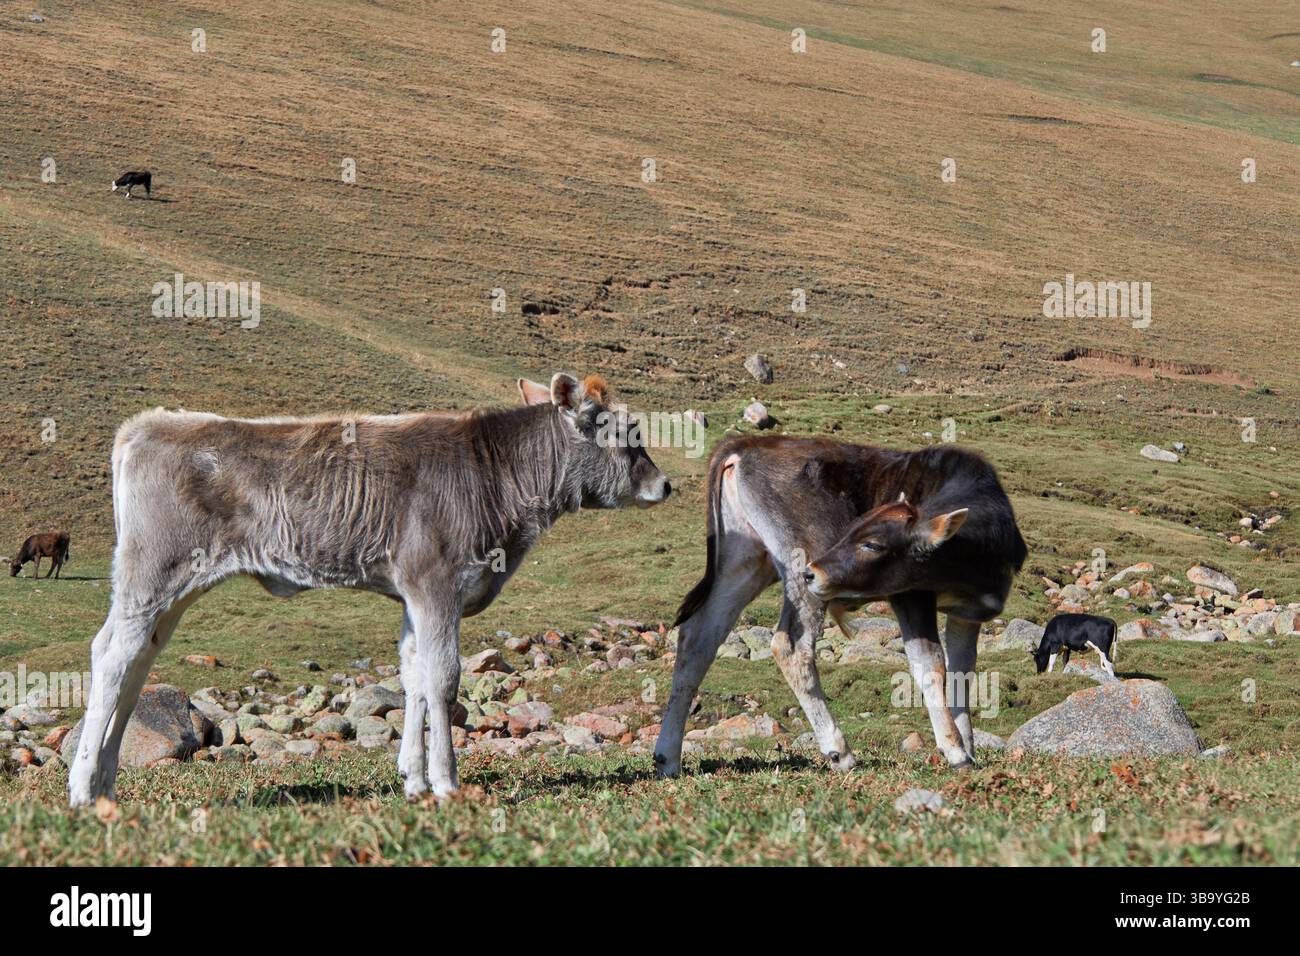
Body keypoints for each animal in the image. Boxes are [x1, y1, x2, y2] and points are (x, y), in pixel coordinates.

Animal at [68, 373, 670, 807]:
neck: (495, 478)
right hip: (152, 573)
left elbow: (415, 678)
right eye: (624, 433)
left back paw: (105, 786)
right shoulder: (436, 584)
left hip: (172, 589)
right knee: (111, 656)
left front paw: (414, 780)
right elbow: (444, 680)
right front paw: (447, 784)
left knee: (136, 665)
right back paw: (81, 788)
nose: (665, 484)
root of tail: (149, 424)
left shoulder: (413, 597)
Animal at [654, 437, 1026, 777]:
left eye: (872, 543)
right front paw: (955, 750)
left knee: (698, 639)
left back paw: (667, 758)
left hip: (744, 560)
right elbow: (931, 665)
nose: (813, 570)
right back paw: (839, 751)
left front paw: (969, 746)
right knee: (790, 646)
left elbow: (963, 670)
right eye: (851, 531)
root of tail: (744, 444)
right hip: (797, 563)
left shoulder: (966, 614)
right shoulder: (910, 594)